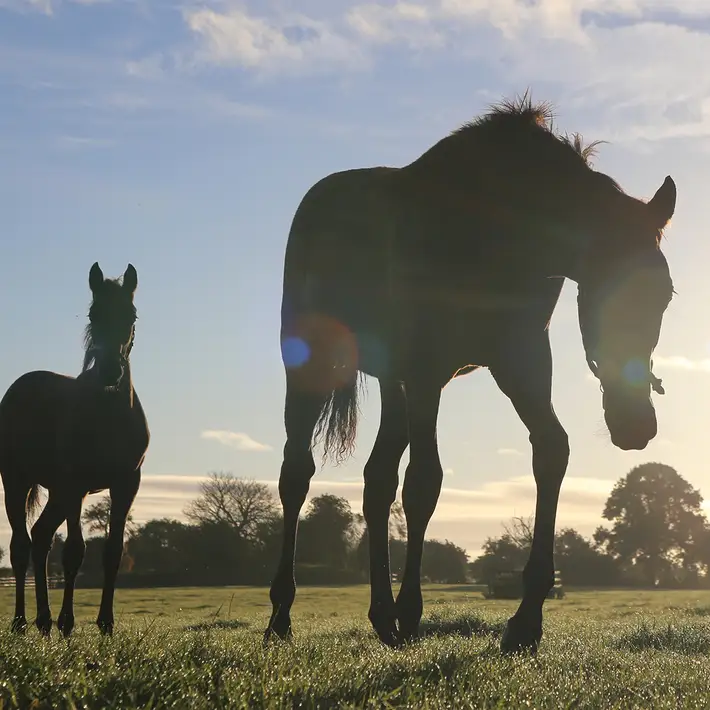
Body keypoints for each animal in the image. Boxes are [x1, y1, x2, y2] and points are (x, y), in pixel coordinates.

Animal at [0, 262, 149, 637]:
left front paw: (106, 624)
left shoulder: (126, 484)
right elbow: (73, 552)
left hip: (57, 492)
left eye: (132, 315)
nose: (110, 370)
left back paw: (43, 621)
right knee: (21, 547)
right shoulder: (75, 483)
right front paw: (68, 623)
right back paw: (22, 622)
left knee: (40, 538)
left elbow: (112, 552)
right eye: (94, 314)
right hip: (18, 480)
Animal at [263, 95, 676, 655]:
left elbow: (552, 451)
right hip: (313, 366)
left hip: (393, 382)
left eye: (665, 295)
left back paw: (381, 617)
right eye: (604, 290)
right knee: (296, 476)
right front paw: (413, 612)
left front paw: (525, 621)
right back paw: (282, 614)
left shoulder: (521, 359)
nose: (635, 426)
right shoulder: (427, 371)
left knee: (376, 483)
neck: (495, 236)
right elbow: (424, 483)